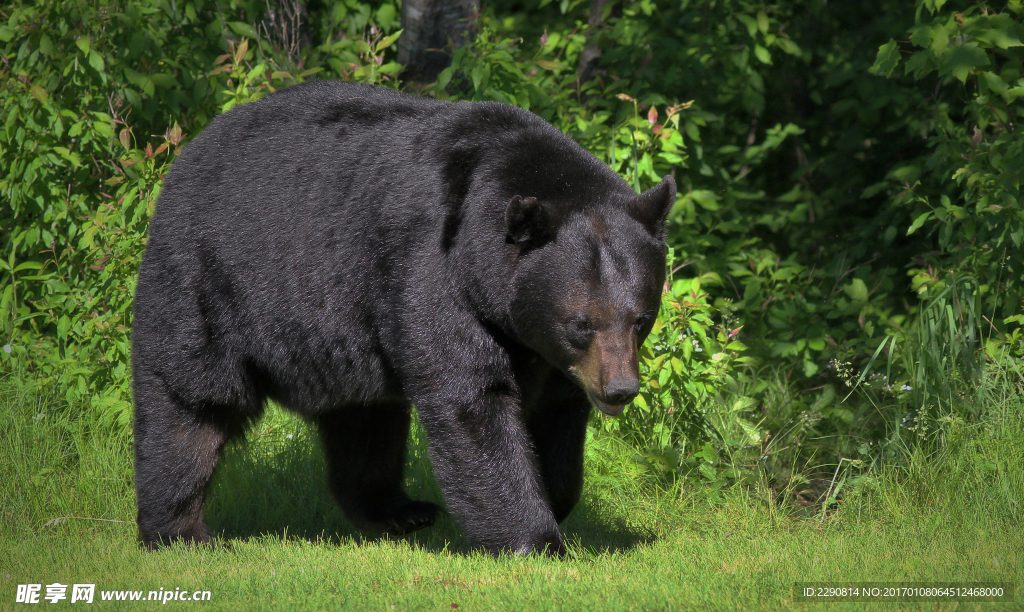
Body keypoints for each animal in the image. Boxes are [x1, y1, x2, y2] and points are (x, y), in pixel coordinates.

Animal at [132, 81, 675, 556]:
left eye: (641, 319)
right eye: (580, 323)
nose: (620, 390)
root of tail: (190, 149)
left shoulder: (544, 352)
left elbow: (557, 414)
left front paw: (553, 499)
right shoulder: (433, 271)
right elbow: (472, 402)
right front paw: (535, 540)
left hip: (345, 339)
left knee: (367, 419)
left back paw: (397, 510)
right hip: (208, 280)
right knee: (189, 404)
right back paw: (179, 530)